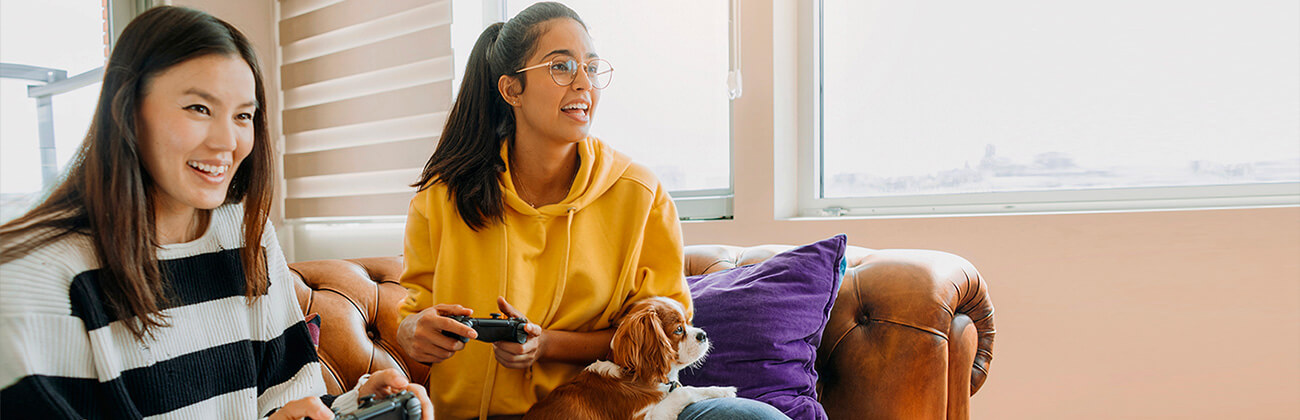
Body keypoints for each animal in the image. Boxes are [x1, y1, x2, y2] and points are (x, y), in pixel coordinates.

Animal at [522, 297, 738, 420]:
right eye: (678, 329)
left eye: (689, 322)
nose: (703, 335)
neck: (633, 374)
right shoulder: (647, 418)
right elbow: (682, 392)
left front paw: (722, 390)